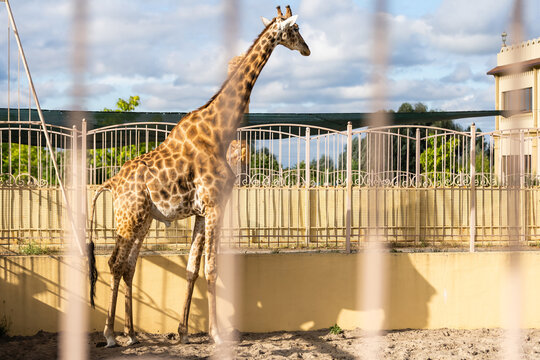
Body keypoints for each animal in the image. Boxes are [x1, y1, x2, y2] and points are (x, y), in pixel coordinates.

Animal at [87, 4, 310, 348]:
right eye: (295, 29)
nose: (307, 50)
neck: (218, 130)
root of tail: (111, 183)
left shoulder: (202, 212)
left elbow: (192, 268)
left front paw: (182, 332)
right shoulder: (216, 206)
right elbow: (212, 268)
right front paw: (217, 334)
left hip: (143, 219)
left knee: (128, 266)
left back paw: (132, 334)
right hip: (128, 217)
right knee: (114, 263)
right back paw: (111, 334)